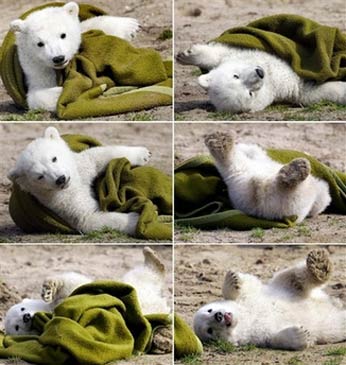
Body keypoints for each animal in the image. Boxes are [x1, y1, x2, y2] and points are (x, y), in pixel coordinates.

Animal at [7, 126, 151, 235]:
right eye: (40, 176)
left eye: (54, 158)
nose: (61, 179)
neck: (73, 184)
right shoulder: (61, 202)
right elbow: (88, 218)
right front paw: (136, 219)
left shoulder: (80, 168)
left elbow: (98, 156)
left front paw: (143, 154)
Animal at [9, 1, 139, 111]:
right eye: (40, 43)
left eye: (63, 35)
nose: (58, 58)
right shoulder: (35, 69)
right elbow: (36, 94)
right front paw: (63, 93)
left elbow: (88, 26)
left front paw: (130, 26)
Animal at [176, 42, 346, 111]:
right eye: (250, 93)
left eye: (235, 76)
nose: (260, 73)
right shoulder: (288, 87)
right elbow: (309, 93)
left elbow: (218, 54)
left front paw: (185, 55)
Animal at [193, 249, 346, 348]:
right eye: (210, 331)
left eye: (209, 310)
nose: (219, 315)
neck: (246, 317)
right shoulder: (258, 335)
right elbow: (276, 339)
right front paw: (301, 333)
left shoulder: (260, 295)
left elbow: (253, 283)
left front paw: (232, 279)